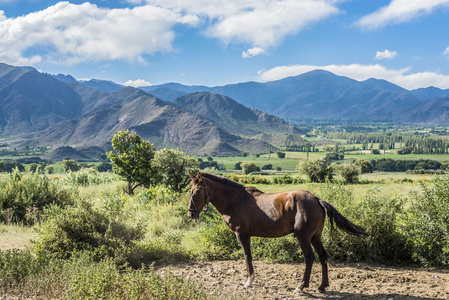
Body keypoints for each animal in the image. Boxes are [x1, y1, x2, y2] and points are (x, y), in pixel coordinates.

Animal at [187, 172, 366, 292]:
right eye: (190, 190)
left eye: (197, 191)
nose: (191, 214)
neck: (235, 200)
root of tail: (317, 200)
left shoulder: (242, 234)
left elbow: (247, 256)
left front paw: (249, 281)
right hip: (316, 237)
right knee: (323, 256)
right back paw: (322, 286)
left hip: (303, 237)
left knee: (309, 258)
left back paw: (302, 286)